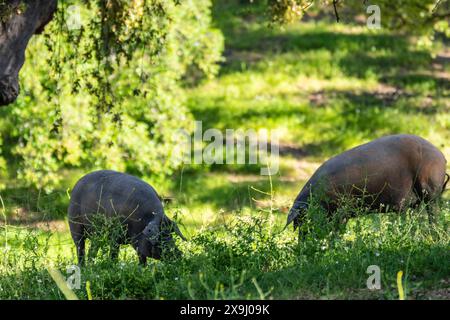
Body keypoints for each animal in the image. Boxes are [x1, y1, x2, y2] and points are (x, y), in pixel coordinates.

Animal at [286, 134, 448, 231]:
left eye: (304, 220)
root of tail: (441, 156)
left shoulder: (341, 210)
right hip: (416, 201)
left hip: (430, 189)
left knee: (433, 215)